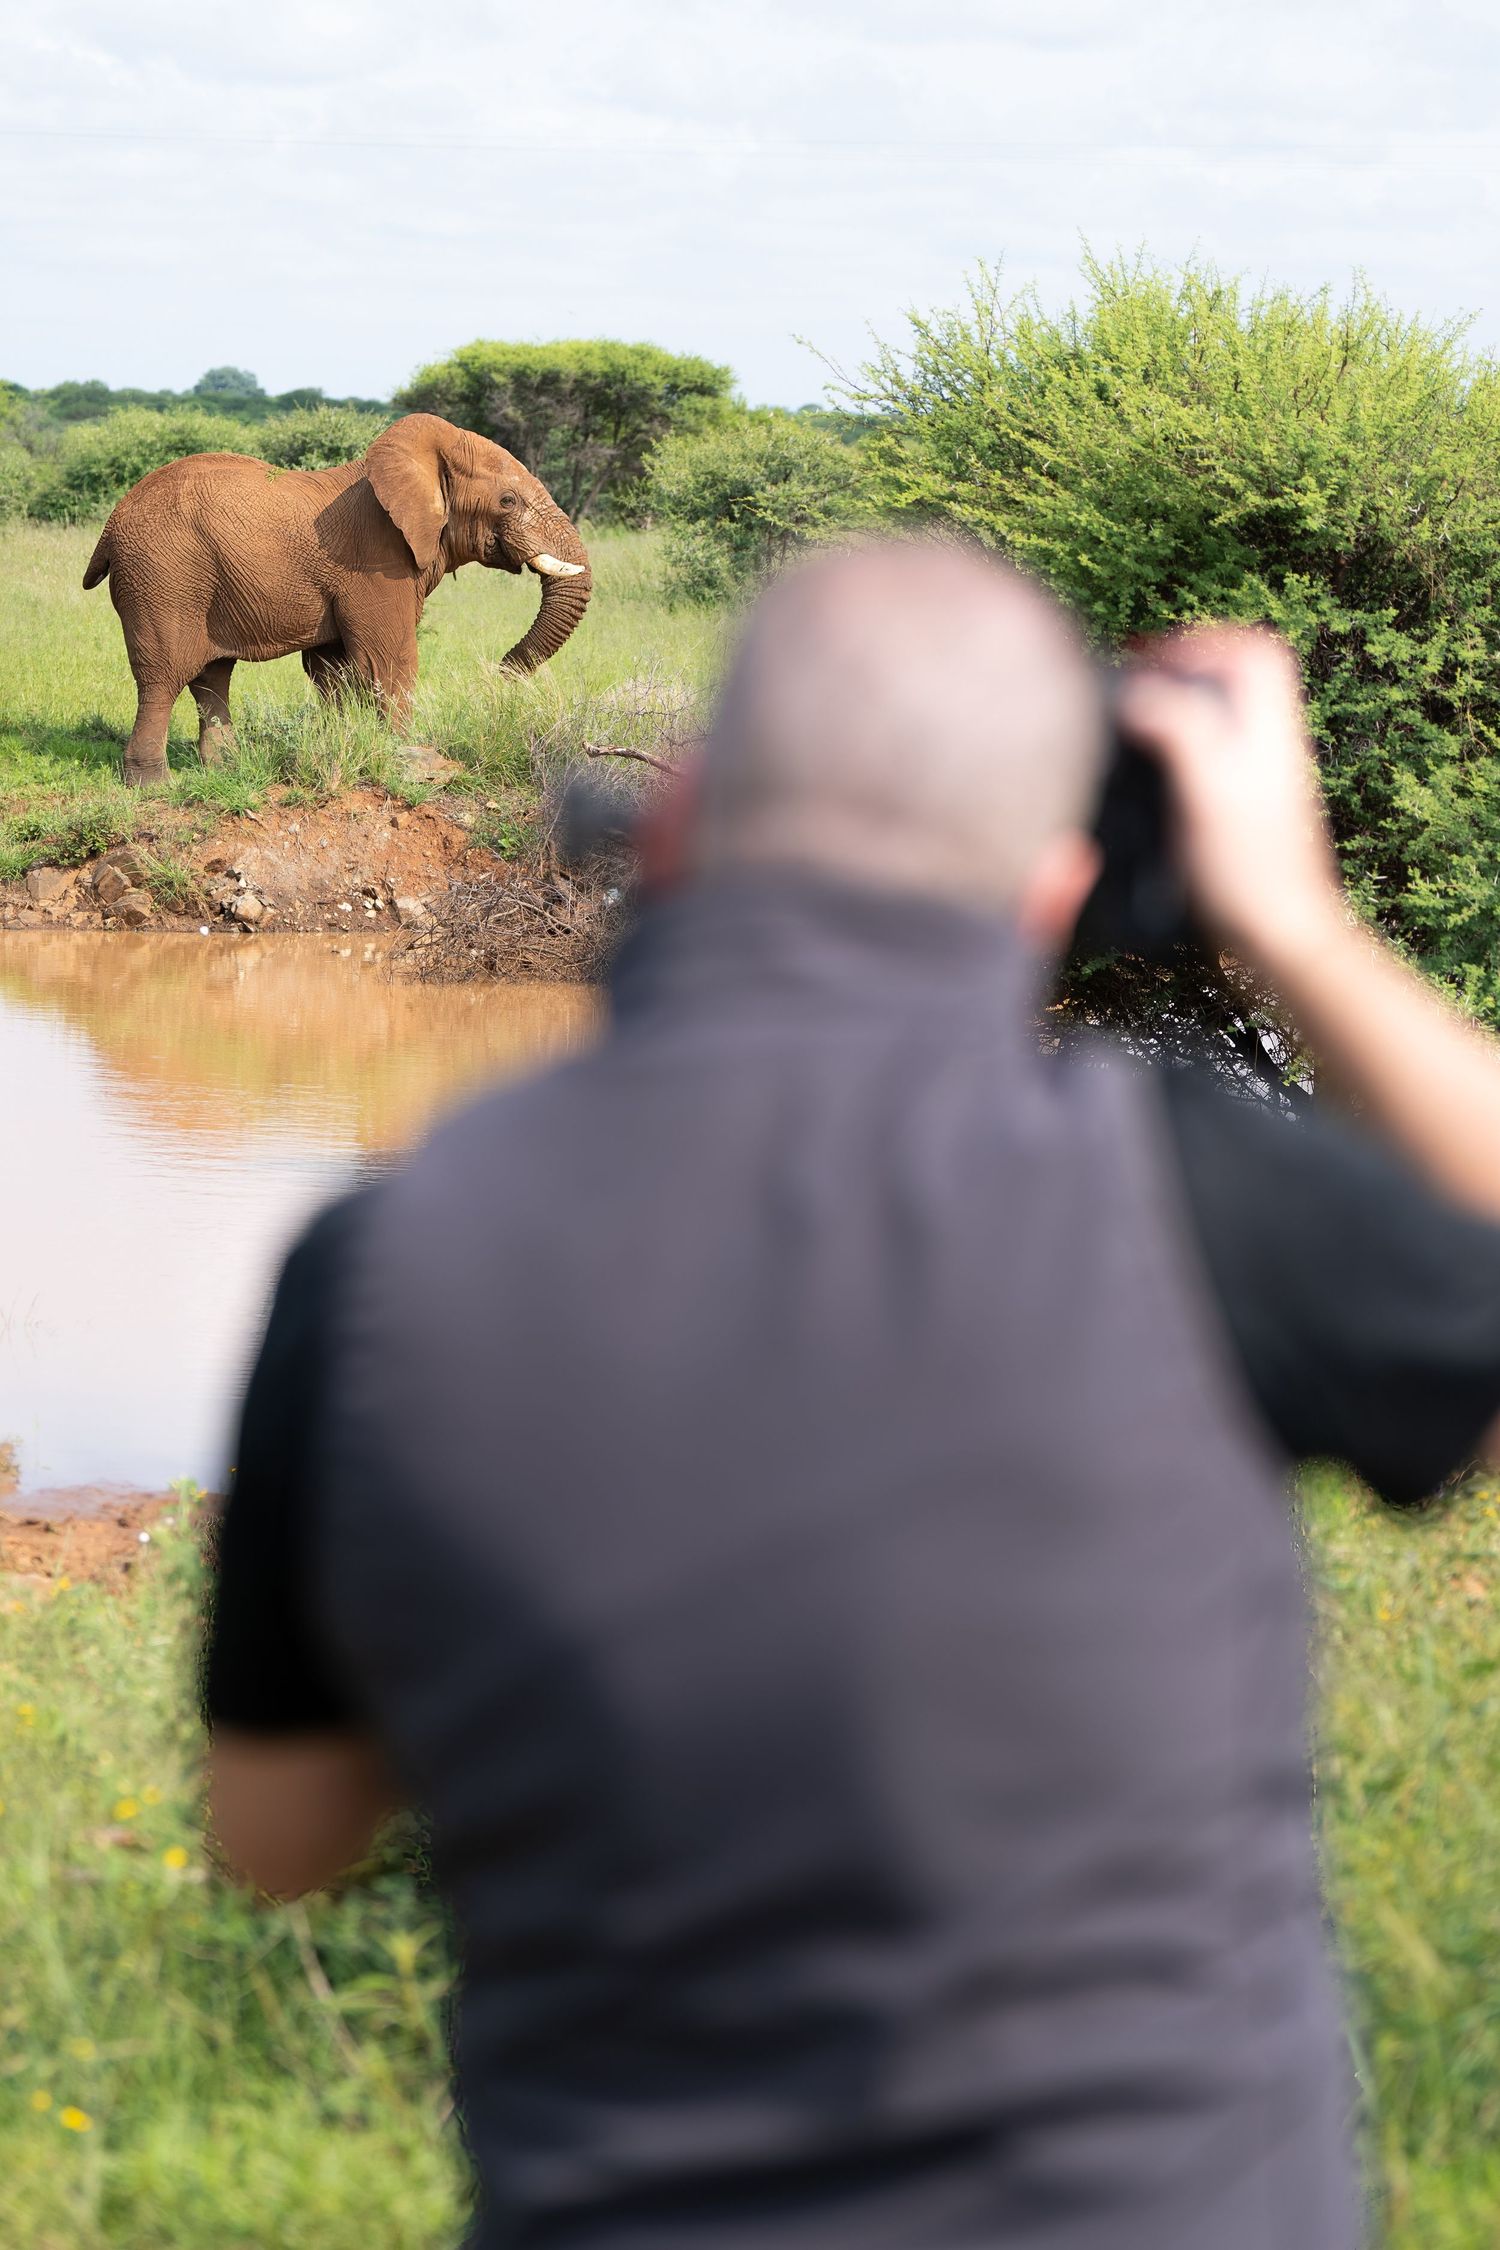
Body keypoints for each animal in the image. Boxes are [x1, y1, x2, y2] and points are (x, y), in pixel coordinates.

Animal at [82, 413, 592, 785]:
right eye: (508, 501)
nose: (500, 672)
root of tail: (110, 526)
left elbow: (332, 670)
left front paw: (342, 748)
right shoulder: (375, 562)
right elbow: (390, 659)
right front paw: (409, 762)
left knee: (212, 676)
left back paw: (226, 770)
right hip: (163, 576)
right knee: (164, 677)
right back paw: (153, 785)